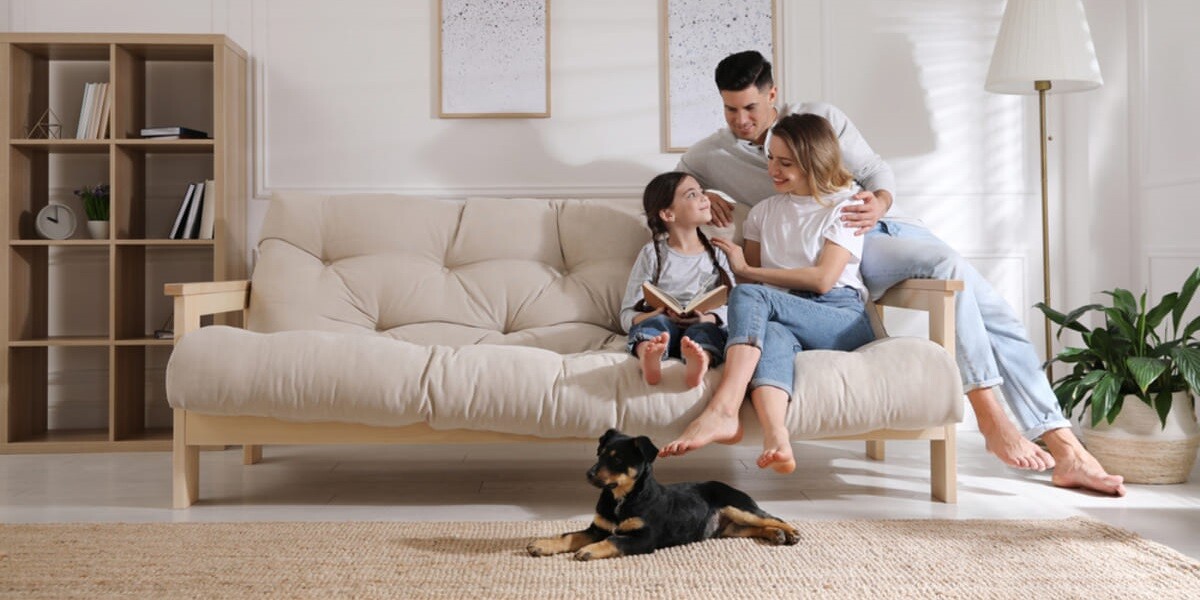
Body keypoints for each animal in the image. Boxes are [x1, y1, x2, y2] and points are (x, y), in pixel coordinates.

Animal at [525, 429, 796, 559]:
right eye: (599, 454)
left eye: (618, 459)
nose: (589, 474)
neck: (621, 498)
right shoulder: (598, 528)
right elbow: (569, 535)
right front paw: (542, 544)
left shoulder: (644, 537)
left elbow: (614, 540)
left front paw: (589, 551)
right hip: (729, 528)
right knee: (753, 528)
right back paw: (776, 535)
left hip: (738, 507)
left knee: (772, 517)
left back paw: (792, 533)